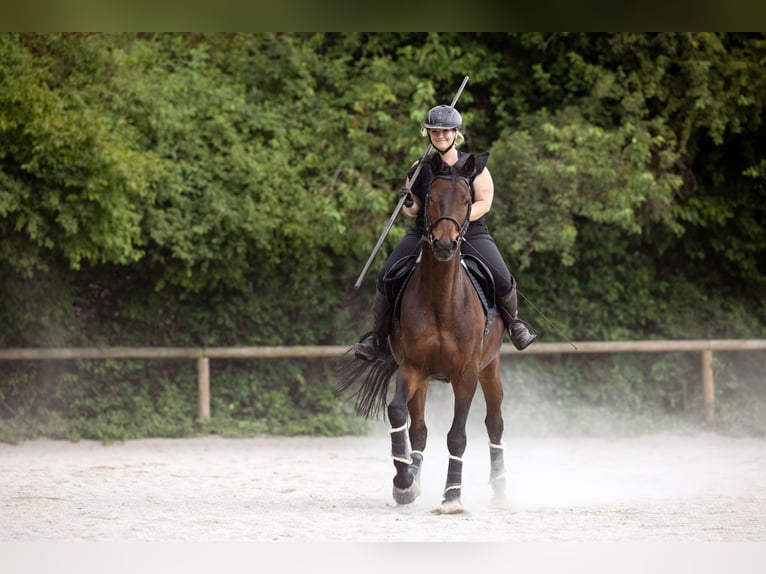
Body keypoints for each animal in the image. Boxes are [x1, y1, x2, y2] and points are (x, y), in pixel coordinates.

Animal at [338, 153, 510, 512]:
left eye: (467, 200)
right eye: (430, 198)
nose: (444, 244)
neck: (441, 299)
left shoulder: (466, 374)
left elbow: (457, 435)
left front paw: (453, 495)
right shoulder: (412, 368)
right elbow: (398, 413)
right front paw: (404, 482)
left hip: (490, 369)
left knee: (495, 423)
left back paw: (500, 487)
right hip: (425, 379)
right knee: (418, 428)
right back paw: (413, 477)